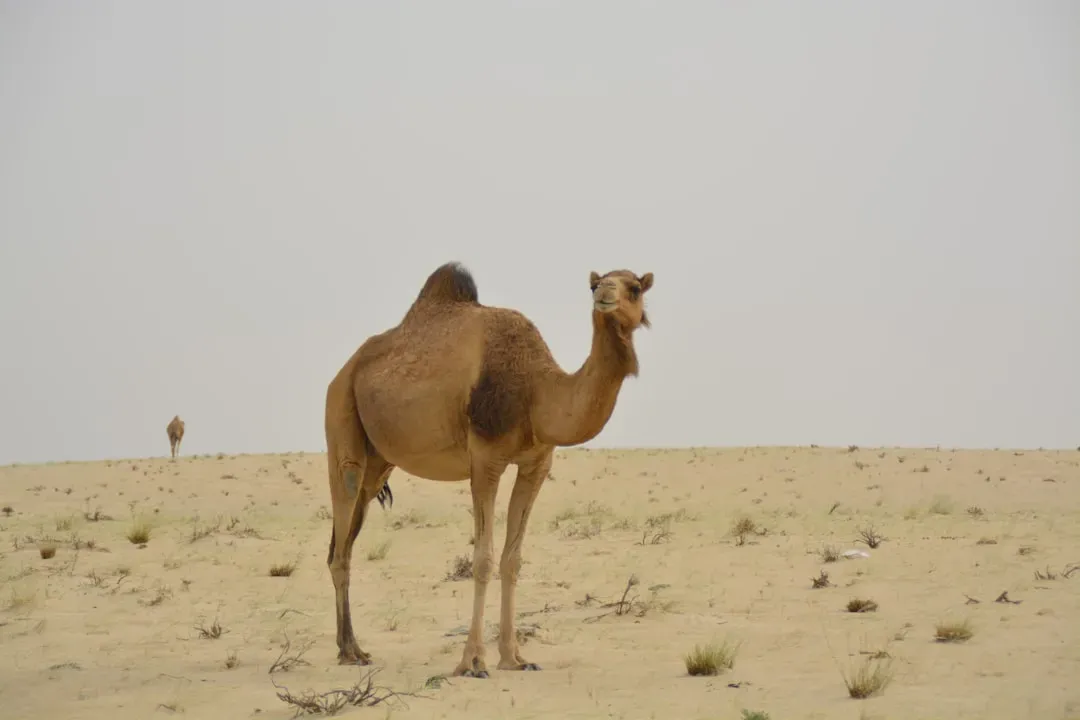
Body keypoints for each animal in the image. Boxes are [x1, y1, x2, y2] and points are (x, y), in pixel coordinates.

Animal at [324, 261, 654, 677]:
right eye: (595, 285)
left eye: (634, 288)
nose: (604, 295)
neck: (537, 391)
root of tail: (343, 371)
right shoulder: (485, 460)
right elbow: (483, 558)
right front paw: (472, 661)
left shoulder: (536, 464)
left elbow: (512, 559)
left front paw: (514, 658)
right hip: (341, 418)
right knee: (341, 529)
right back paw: (349, 652)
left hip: (379, 462)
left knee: (345, 542)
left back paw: (352, 647)